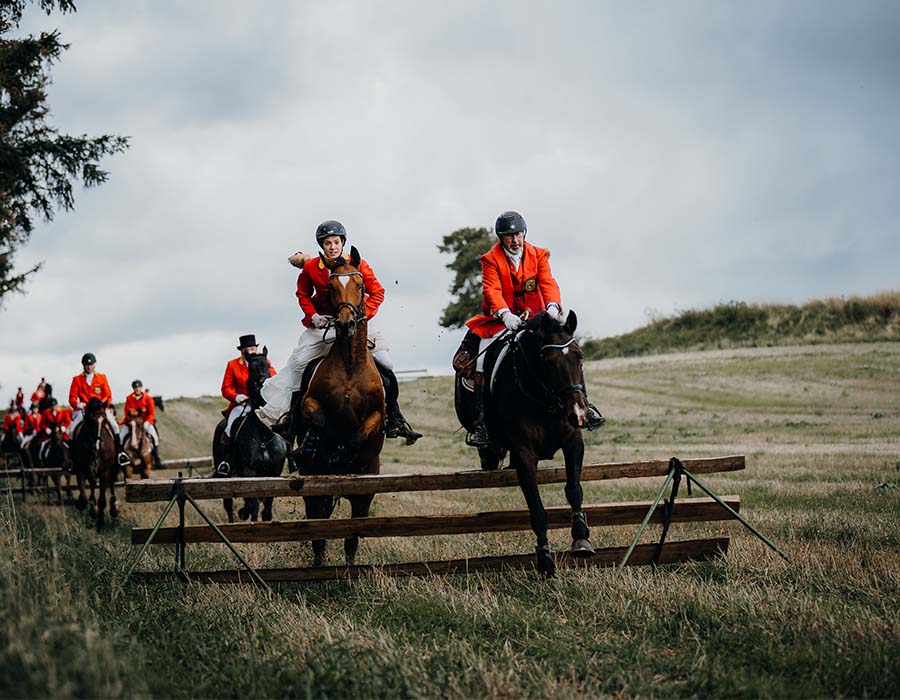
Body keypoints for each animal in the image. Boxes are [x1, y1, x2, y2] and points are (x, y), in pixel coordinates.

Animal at [69, 400, 119, 532]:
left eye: (105, 420)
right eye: (91, 421)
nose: (97, 446)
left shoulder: (104, 472)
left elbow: (102, 500)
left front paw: (100, 524)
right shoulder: (81, 470)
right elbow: (84, 497)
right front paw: (89, 508)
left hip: (112, 469)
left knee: (112, 483)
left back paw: (114, 507)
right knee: (91, 485)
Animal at [212, 348, 288, 524]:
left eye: (267, 366)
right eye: (251, 369)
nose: (263, 385)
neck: (263, 437)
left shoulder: (274, 473)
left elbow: (266, 506)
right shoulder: (249, 472)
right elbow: (253, 504)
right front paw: (248, 516)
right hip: (225, 474)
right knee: (228, 503)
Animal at [290, 246, 384, 568]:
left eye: (361, 285)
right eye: (331, 287)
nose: (344, 324)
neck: (350, 364)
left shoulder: (377, 414)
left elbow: (358, 435)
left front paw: (344, 454)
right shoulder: (310, 401)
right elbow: (318, 419)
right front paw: (316, 447)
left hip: (365, 491)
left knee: (352, 533)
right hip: (311, 490)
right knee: (317, 528)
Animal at [458, 310, 596, 576]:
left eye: (579, 356)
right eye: (547, 360)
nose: (578, 414)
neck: (544, 400)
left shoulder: (573, 441)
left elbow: (574, 489)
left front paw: (581, 537)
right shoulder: (524, 454)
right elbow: (537, 510)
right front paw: (545, 560)